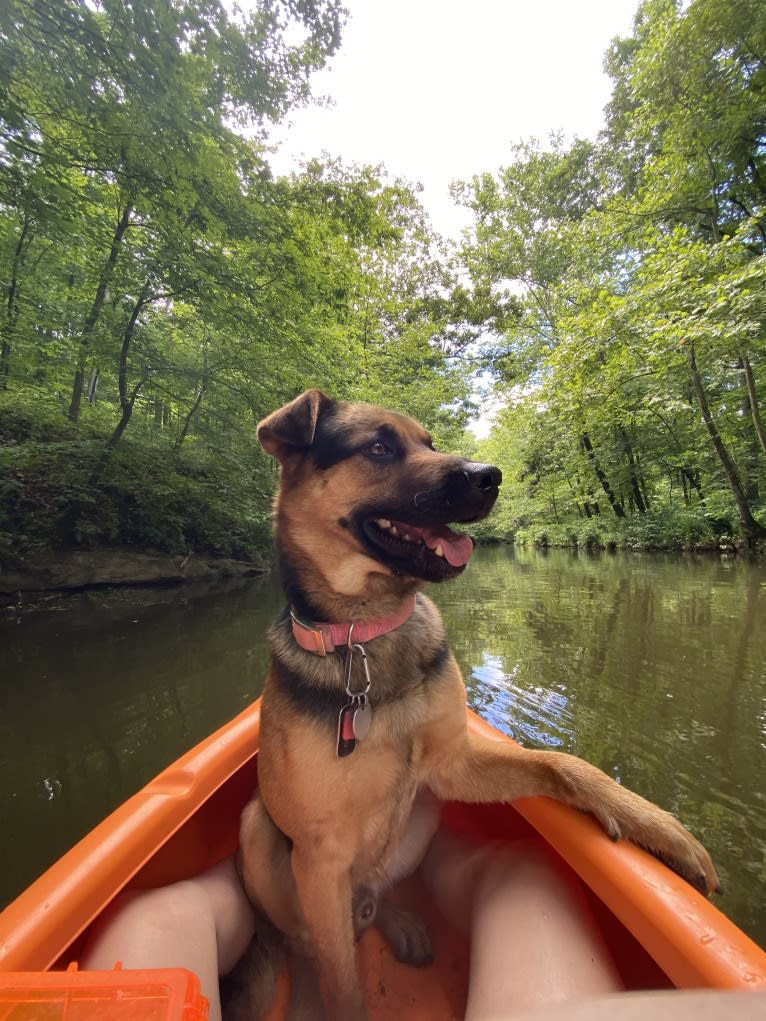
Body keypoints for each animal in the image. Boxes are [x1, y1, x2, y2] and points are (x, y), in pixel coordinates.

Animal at [238, 387, 719, 1021]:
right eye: (379, 447)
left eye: (430, 441)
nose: (490, 476)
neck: (368, 637)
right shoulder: (319, 856)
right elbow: (342, 981)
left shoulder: (452, 765)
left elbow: (564, 764)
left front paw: (660, 828)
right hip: (257, 831)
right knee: (308, 940)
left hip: (419, 817)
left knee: (375, 899)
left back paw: (401, 923)